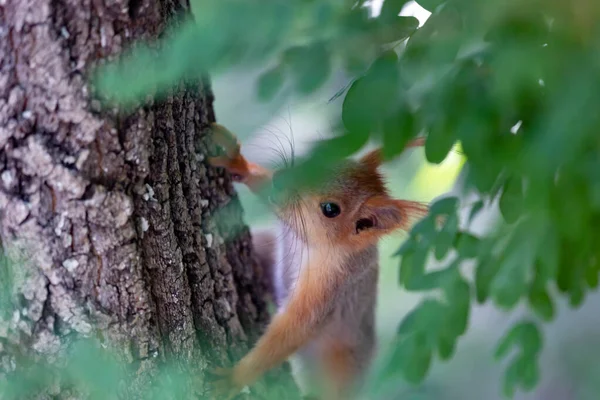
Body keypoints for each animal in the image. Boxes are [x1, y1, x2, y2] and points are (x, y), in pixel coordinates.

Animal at [206, 123, 426, 398]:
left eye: (330, 209)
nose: (281, 179)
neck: (312, 244)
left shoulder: (330, 285)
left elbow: (294, 327)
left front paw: (236, 377)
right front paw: (238, 163)